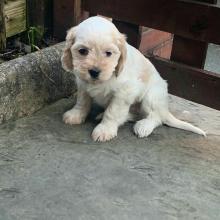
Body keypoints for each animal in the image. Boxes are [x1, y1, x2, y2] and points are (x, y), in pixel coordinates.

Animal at [60, 16, 206, 142]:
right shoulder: (83, 85)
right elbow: (82, 101)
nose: (94, 71)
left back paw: (143, 126)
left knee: (155, 117)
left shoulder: (124, 92)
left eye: (108, 53)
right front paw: (76, 114)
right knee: (135, 115)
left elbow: (113, 111)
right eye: (82, 51)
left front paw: (105, 129)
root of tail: (165, 109)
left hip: (151, 97)